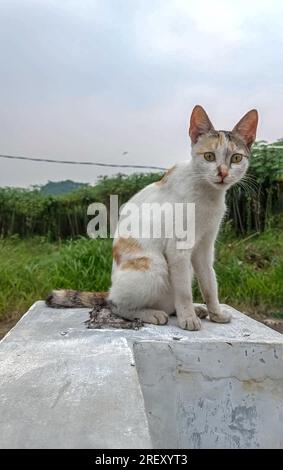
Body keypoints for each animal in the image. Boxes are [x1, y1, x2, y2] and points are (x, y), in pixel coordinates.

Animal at [47, 105, 260, 330]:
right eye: (209, 156)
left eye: (236, 158)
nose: (223, 173)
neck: (208, 196)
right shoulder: (178, 250)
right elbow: (184, 292)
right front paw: (188, 318)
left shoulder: (204, 247)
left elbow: (210, 284)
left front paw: (215, 313)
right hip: (154, 266)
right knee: (116, 305)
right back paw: (153, 314)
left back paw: (194, 310)